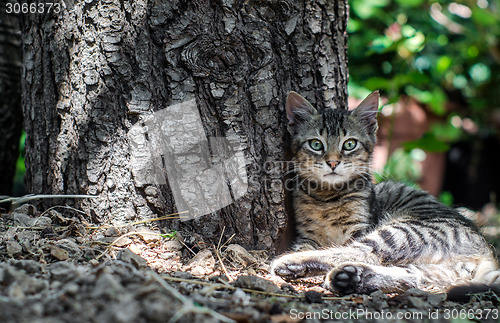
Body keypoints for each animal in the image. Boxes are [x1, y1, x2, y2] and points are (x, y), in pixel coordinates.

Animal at [274, 91, 500, 296]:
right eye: (316, 144)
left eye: (349, 144)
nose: (332, 162)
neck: (326, 197)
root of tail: (486, 250)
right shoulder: (307, 233)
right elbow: (305, 244)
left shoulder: (359, 227)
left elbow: (349, 247)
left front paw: (298, 257)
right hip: (435, 267)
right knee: (410, 277)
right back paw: (349, 277)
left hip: (403, 231)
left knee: (362, 252)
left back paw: (294, 262)